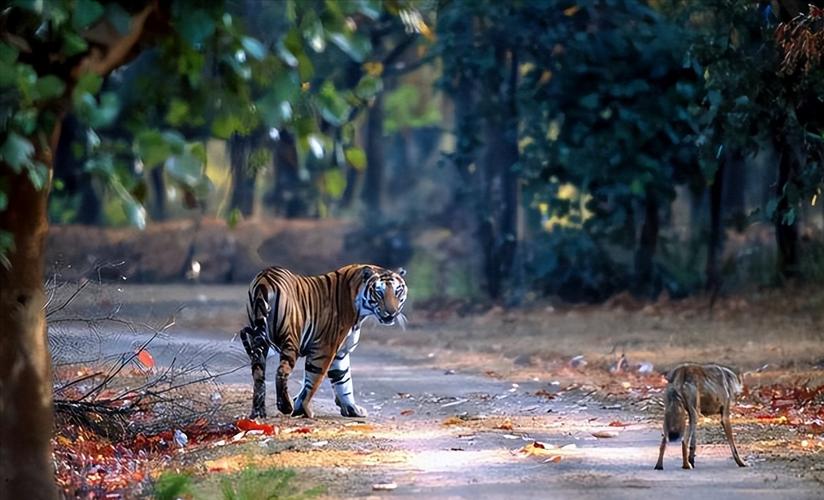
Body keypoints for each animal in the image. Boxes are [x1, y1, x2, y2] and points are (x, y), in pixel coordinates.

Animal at [237, 264, 408, 420]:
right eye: (379, 293)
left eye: (397, 291)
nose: (392, 312)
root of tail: (264, 280)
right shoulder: (324, 348)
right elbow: (313, 380)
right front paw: (303, 409)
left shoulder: (340, 352)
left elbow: (343, 380)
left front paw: (352, 409)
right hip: (291, 339)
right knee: (281, 371)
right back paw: (285, 406)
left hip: (259, 342)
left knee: (258, 375)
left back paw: (258, 413)